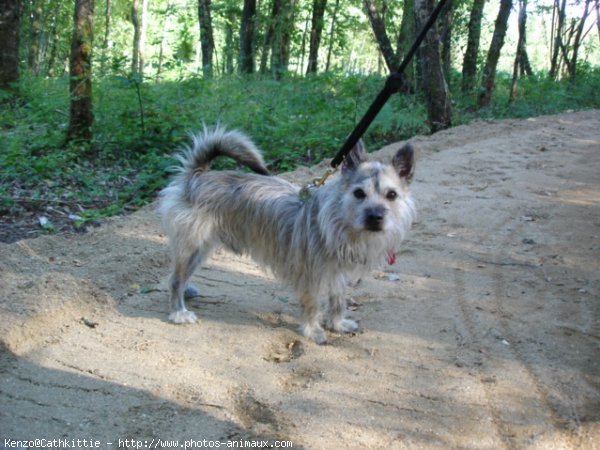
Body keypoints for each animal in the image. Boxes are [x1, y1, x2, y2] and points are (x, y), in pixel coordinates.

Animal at [157, 126, 414, 344]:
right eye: (359, 193)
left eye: (391, 195)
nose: (375, 216)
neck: (338, 221)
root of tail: (197, 176)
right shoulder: (311, 275)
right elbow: (313, 305)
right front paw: (313, 331)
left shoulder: (337, 273)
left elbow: (337, 301)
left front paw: (338, 324)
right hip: (193, 245)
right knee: (175, 279)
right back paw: (178, 312)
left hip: (200, 248)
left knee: (179, 275)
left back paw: (186, 292)